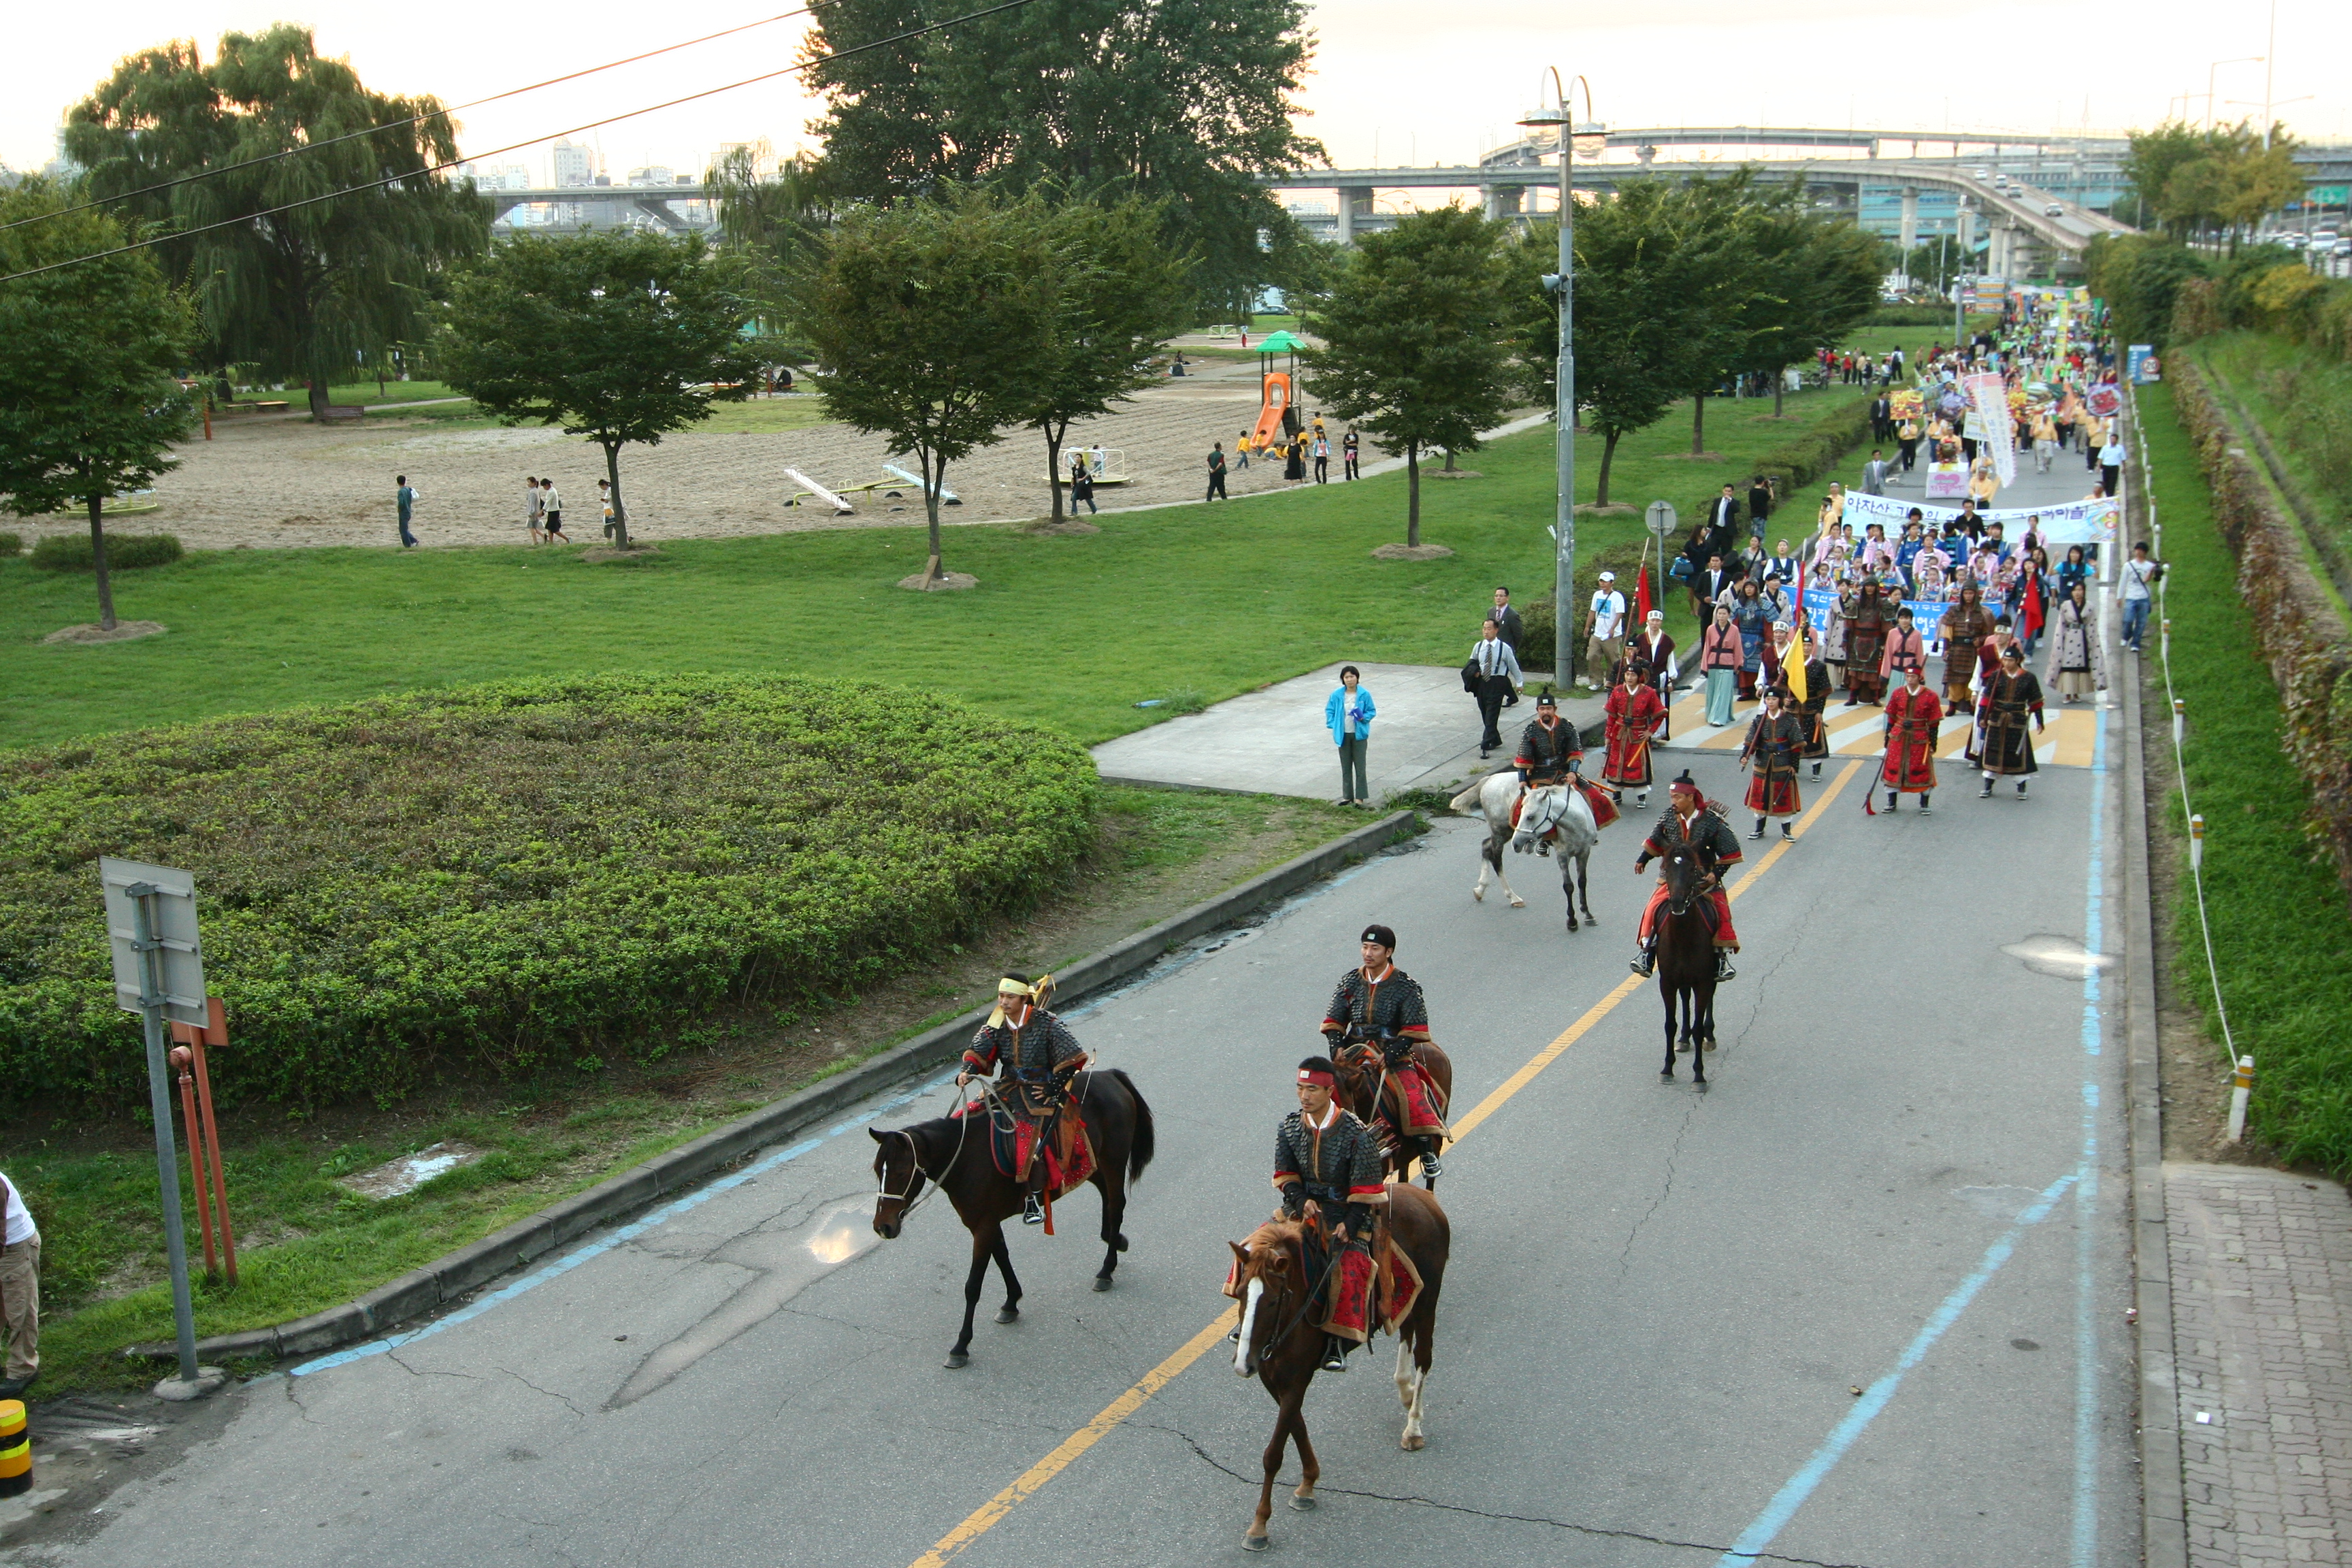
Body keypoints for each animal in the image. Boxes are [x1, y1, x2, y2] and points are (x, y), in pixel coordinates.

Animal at [870, 1072, 1152, 1363]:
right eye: (877, 1170)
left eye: (901, 1172)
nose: (883, 1227)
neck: (965, 1158)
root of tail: (1109, 1075)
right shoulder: (986, 1223)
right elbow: (1002, 1257)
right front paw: (1011, 1302)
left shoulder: (983, 1226)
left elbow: (973, 1286)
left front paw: (961, 1345)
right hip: (1094, 1164)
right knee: (1108, 1202)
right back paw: (1116, 1242)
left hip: (1113, 1161)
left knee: (1116, 1205)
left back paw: (1106, 1270)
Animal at [1232, 1194, 1448, 1551]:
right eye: (1239, 1294)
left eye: (1274, 1300)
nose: (1243, 1364)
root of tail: (1426, 1200)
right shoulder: (1272, 1378)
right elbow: (1297, 1426)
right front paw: (1308, 1484)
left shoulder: (1297, 1378)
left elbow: (1274, 1452)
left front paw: (1259, 1526)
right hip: (1411, 1297)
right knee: (1405, 1329)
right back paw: (1404, 1390)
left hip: (1429, 1296)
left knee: (1424, 1355)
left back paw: (1413, 1427)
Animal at [1439, 771, 1608, 930]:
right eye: (1521, 813)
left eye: (1530, 817)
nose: (1517, 843)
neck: (1577, 824)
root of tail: (1489, 779)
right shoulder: (1562, 855)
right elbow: (1568, 886)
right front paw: (1572, 921)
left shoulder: (1584, 852)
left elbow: (1582, 882)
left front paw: (1588, 915)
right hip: (1500, 831)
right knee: (1496, 857)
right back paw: (1513, 897)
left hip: (1505, 832)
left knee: (1486, 846)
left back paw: (1480, 890)